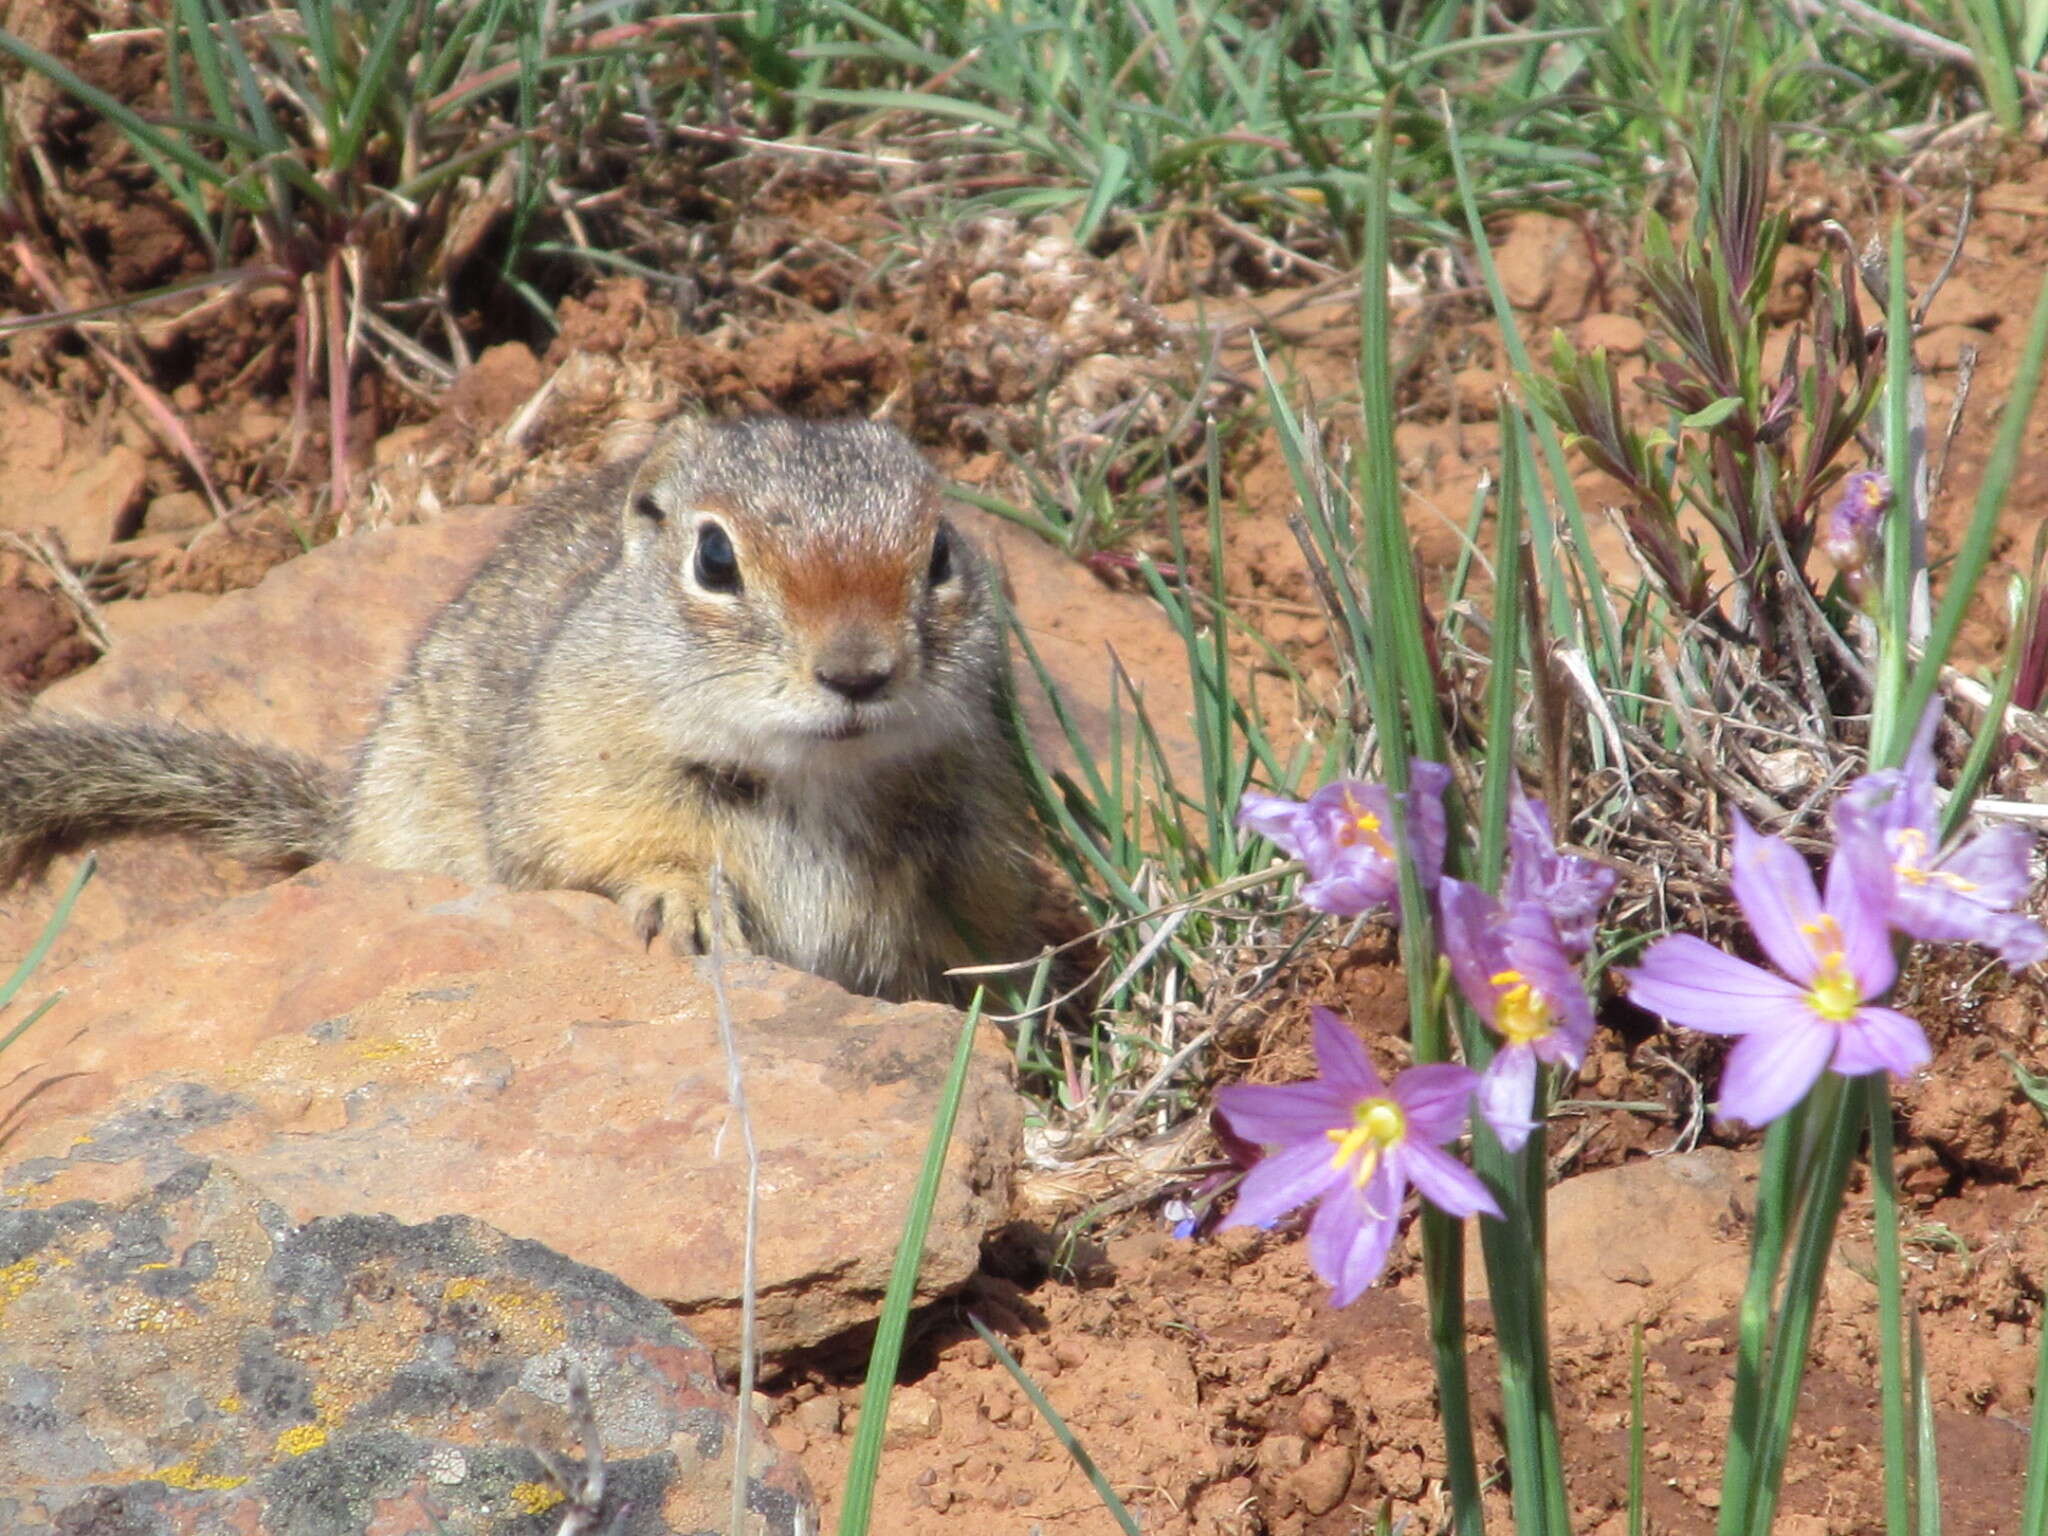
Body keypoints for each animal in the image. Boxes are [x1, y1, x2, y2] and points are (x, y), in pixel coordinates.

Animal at [4, 415, 1040, 1003]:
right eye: (714, 559)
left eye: (942, 551)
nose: (859, 672)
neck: (814, 776)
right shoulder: (580, 778)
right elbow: (592, 855)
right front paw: (685, 901)